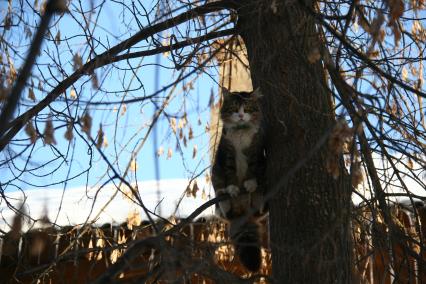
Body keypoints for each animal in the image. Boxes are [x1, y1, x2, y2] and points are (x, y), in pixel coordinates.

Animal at [211, 87, 266, 272]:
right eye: (235, 108)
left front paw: (249, 183)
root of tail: (243, 214)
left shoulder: (255, 151)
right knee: (225, 211)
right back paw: (225, 196)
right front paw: (233, 188)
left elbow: (251, 170)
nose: (241, 115)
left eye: (247, 108)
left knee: (260, 209)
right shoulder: (227, 153)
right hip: (215, 172)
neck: (241, 130)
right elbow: (231, 174)